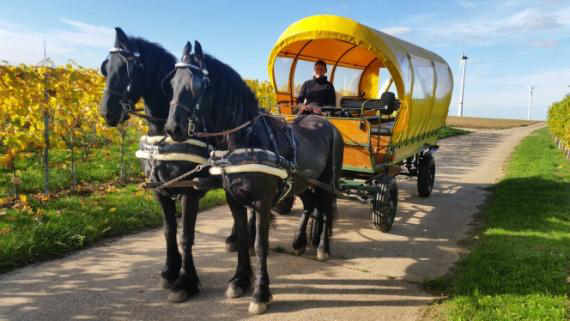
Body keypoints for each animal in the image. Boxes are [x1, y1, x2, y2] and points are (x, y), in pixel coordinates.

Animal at [98, 28, 216, 302]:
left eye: (127, 68)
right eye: (106, 68)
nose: (107, 112)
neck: (164, 131)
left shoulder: (189, 190)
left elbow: (186, 235)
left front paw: (186, 282)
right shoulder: (159, 188)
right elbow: (168, 231)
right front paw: (169, 270)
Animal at [164, 41, 342, 314]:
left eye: (196, 85)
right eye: (172, 82)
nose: (172, 128)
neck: (246, 140)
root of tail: (326, 122)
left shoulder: (263, 202)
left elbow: (260, 244)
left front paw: (260, 293)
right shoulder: (234, 199)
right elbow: (243, 237)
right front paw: (239, 281)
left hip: (326, 182)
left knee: (324, 209)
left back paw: (322, 247)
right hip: (303, 183)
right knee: (311, 206)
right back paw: (300, 242)